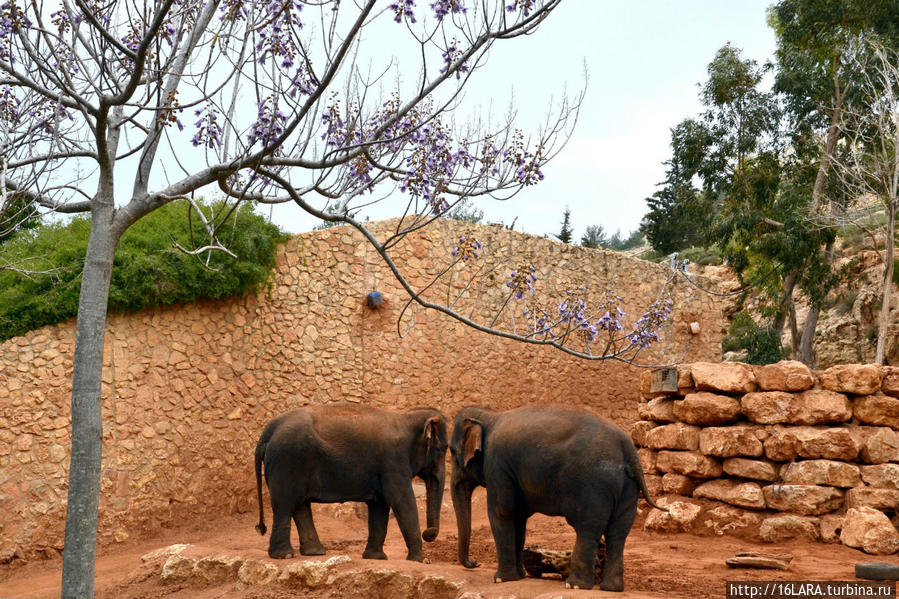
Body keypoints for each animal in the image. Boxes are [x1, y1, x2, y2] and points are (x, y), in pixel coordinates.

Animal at [255, 406, 448, 564]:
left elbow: (380, 504)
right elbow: (402, 500)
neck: (406, 417)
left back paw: (314, 553)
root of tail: (268, 430)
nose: (429, 532)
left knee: (299, 505)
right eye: (443, 449)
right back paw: (285, 555)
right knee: (285, 504)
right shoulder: (394, 461)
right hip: (287, 462)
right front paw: (423, 561)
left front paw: (375, 558)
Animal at [454, 406, 664, 592]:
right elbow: (518, 517)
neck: (490, 415)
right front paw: (520, 576)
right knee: (618, 534)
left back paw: (575, 585)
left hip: (593, 485)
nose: (475, 562)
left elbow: (502, 511)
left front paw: (501, 579)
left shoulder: (497, 465)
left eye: (453, 453)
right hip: (628, 488)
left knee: (587, 529)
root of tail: (628, 448)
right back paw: (611, 588)